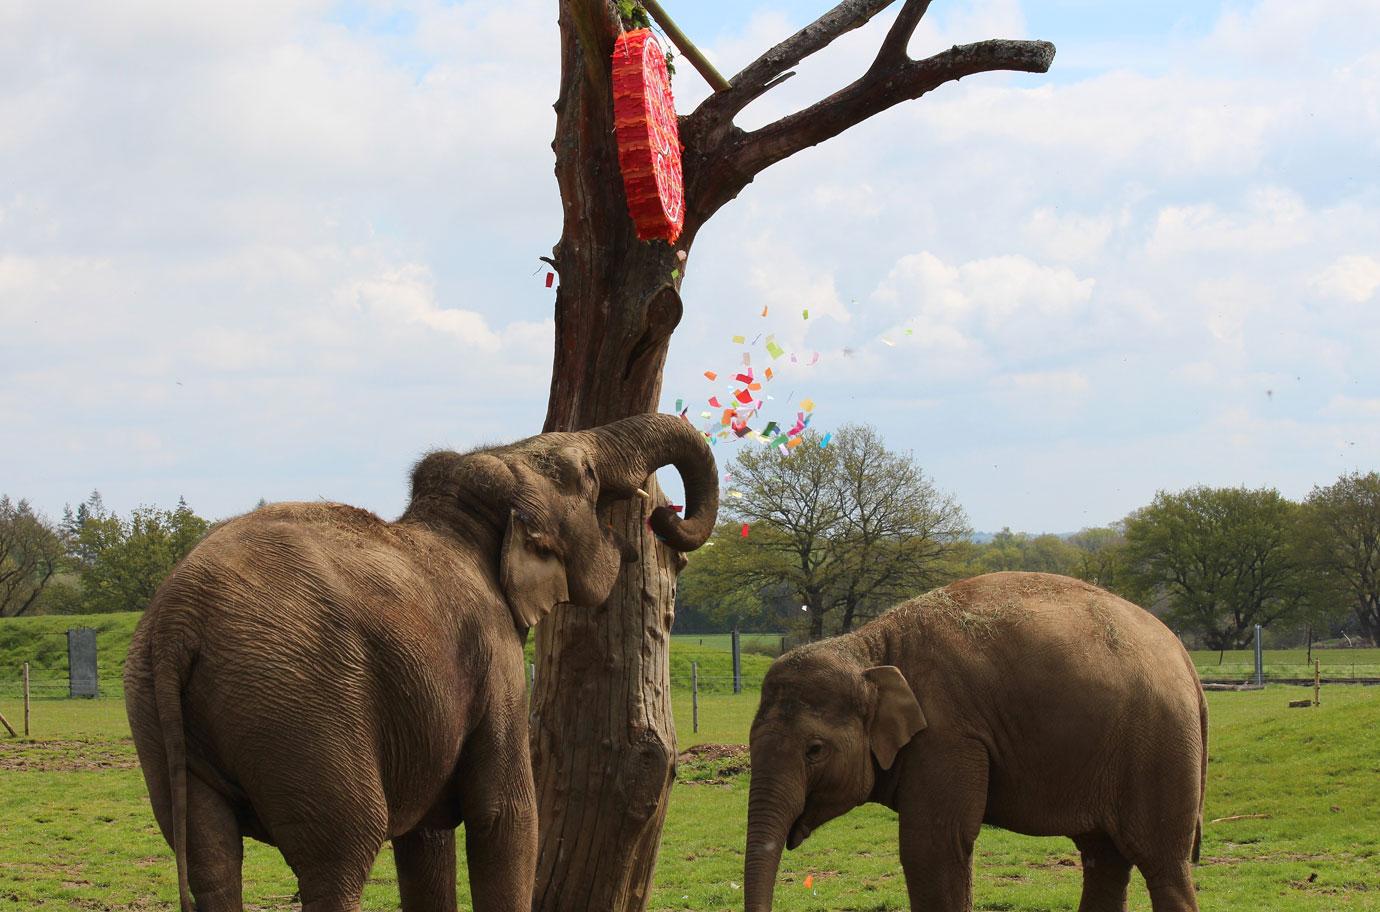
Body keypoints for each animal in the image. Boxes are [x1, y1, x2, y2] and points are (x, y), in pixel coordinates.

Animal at [122, 413, 717, 910]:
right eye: (588, 476)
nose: (660, 514)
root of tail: (179, 619)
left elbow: (425, 834)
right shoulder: (495, 656)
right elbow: (503, 815)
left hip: (158, 706)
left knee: (210, 858)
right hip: (298, 703)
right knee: (343, 851)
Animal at [745, 568, 1208, 910]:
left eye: (815, 750)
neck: (869, 648)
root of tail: (1183, 657)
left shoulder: (946, 735)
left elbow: (934, 844)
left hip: (1158, 746)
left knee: (1162, 862)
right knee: (1104, 858)